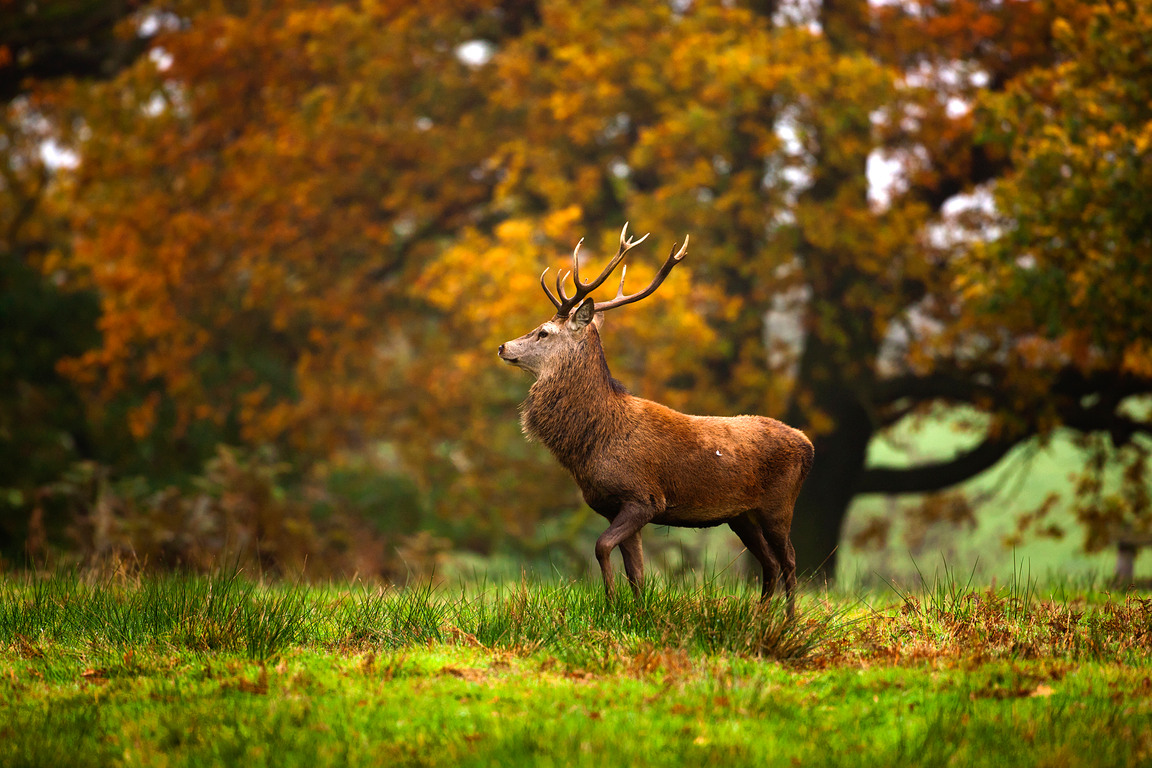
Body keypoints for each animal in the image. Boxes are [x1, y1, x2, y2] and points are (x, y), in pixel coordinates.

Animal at [497, 224, 814, 615]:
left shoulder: (645, 497)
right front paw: (634, 612)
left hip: (778, 505)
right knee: (769, 563)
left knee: (789, 559)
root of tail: (808, 444)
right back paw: (759, 617)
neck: (593, 442)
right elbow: (636, 570)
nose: (503, 346)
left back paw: (788, 620)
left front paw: (612, 604)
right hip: (741, 514)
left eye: (543, 331)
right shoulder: (614, 505)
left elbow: (602, 547)